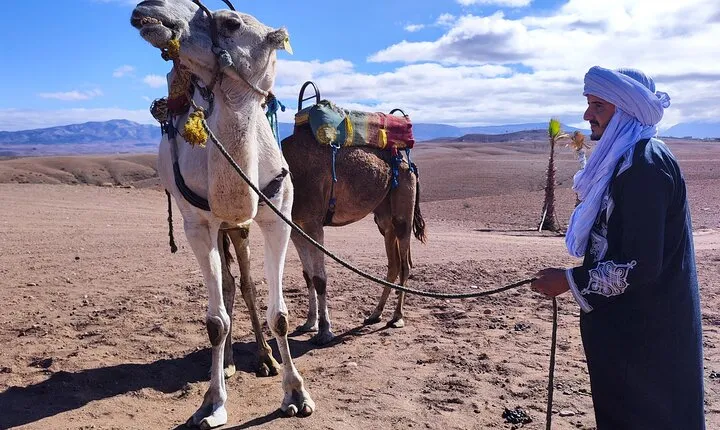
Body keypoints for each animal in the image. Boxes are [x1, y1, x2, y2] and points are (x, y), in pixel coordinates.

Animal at [130, 0, 313, 427]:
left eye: (230, 22)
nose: (149, 9)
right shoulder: (197, 226)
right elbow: (214, 321)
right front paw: (212, 403)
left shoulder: (277, 219)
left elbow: (278, 313)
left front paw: (296, 394)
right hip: (220, 227)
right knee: (228, 286)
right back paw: (228, 363)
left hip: (239, 227)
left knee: (243, 284)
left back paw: (264, 359)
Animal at [282, 120, 427, 345]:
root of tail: (408, 164)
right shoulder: (296, 225)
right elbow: (307, 275)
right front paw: (309, 323)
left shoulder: (313, 223)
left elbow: (319, 277)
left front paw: (324, 331)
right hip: (384, 219)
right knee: (393, 263)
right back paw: (375, 314)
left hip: (403, 207)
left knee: (404, 264)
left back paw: (397, 317)